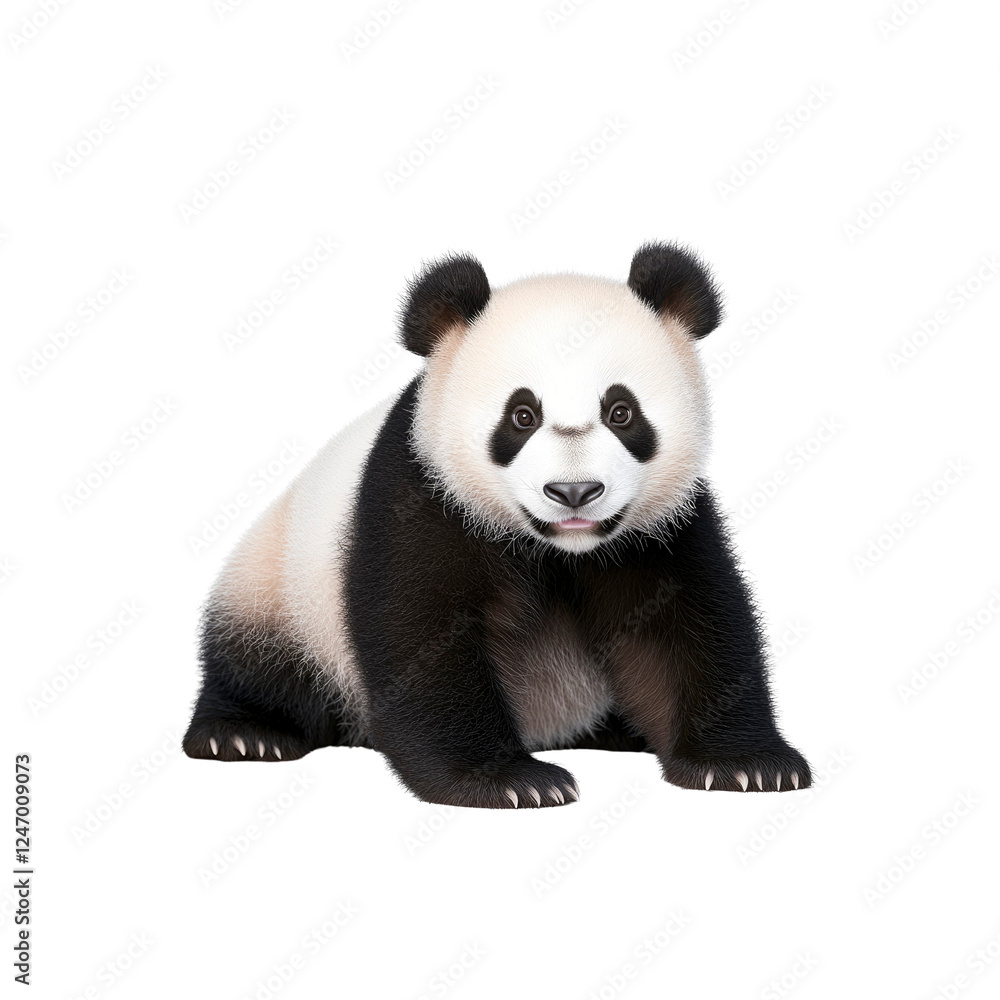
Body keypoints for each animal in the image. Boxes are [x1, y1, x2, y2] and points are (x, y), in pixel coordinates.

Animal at [183, 242, 812, 808]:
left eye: (621, 411)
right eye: (522, 415)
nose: (574, 492)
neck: (559, 549)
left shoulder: (660, 528)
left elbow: (688, 627)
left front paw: (744, 765)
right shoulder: (422, 495)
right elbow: (423, 638)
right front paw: (509, 780)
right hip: (282, 588)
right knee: (256, 660)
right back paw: (244, 734)